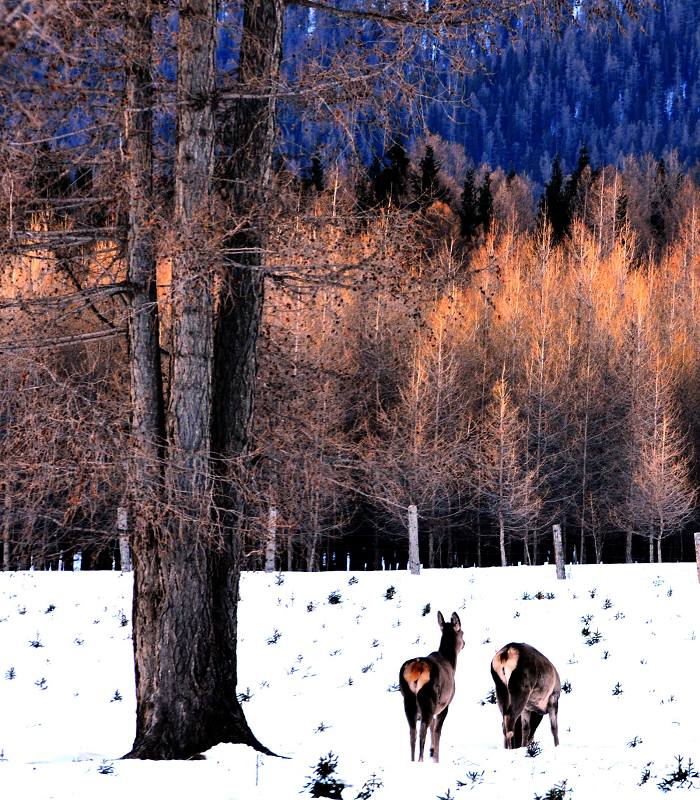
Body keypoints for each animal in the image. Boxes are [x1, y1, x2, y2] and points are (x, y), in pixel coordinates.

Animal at [399, 611, 464, 763]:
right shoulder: (445, 704)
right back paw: (420, 760)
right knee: (423, 730)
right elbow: (437, 731)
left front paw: (432, 750)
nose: (464, 643)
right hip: (428, 698)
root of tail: (418, 668)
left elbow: (432, 727)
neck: (452, 664)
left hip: (408, 699)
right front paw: (436, 758)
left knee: (412, 731)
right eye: (462, 633)